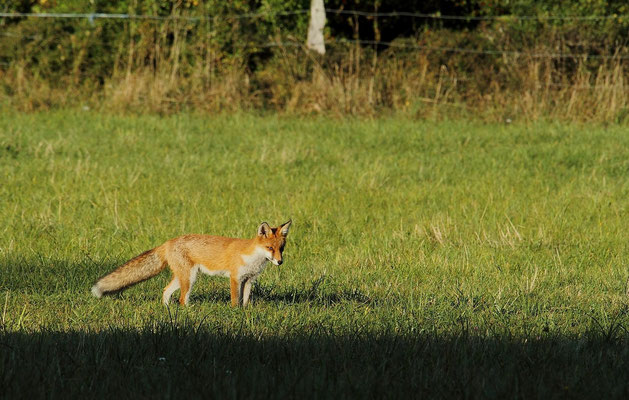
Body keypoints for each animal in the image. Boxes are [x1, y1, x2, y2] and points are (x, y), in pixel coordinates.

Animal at [91, 220, 292, 308]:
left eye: (281, 248)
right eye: (269, 248)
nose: (280, 262)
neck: (253, 258)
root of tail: (167, 242)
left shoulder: (249, 280)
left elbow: (246, 300)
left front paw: (245, 312)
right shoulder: (235, 278)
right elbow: (236, 300)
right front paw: (235, 312)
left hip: (183, 277)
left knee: (166, 291)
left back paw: (167, 310)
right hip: (190, 278)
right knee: (181, 299)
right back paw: (187, 311)